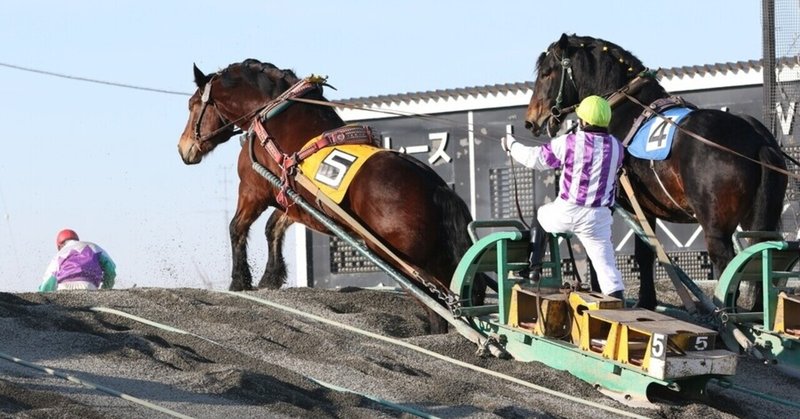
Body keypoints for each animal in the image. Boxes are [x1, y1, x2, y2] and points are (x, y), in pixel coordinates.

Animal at [177, 59, 485, 333]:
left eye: (192, 105)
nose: (184, 149)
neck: (276, 115)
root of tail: (437, 189)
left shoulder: (254, 190)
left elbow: (237, 228)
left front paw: (239, 281)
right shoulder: (296, 203)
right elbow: (273, 228)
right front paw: (270, 277)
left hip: (403, 264)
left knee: (438, 312)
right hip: (441, 262)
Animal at [524, 34, 787, 310]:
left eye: (546, 72)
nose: (531, 119)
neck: (622, 110)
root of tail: (756, 139)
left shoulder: (610, 204)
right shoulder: (645, 208)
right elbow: (645, 254)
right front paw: (647, 300)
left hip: (716, 229)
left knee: (729, 266)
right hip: (757, 222)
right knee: (758, 257)